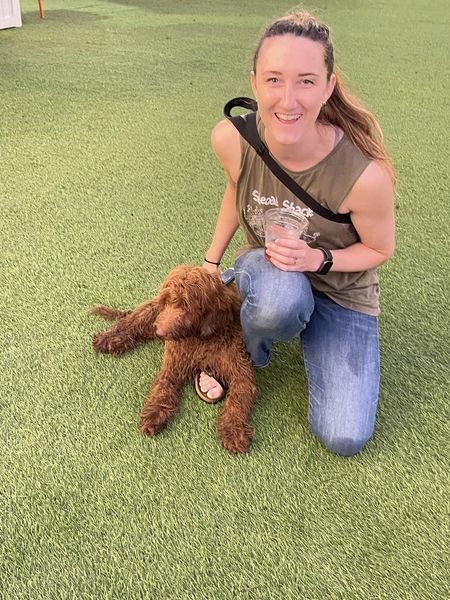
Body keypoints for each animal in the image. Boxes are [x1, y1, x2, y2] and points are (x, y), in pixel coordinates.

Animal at [92, 265, 256, 453]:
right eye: (167, 300)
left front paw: (234, 431)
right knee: (129, 323)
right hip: (149, 313)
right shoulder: (173, 365)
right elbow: (162, 388)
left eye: (186, 304)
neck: (200, 337)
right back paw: (108, 339)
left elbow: (237, 402)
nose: (160, 332)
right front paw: (154, 414)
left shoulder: (241, 373)